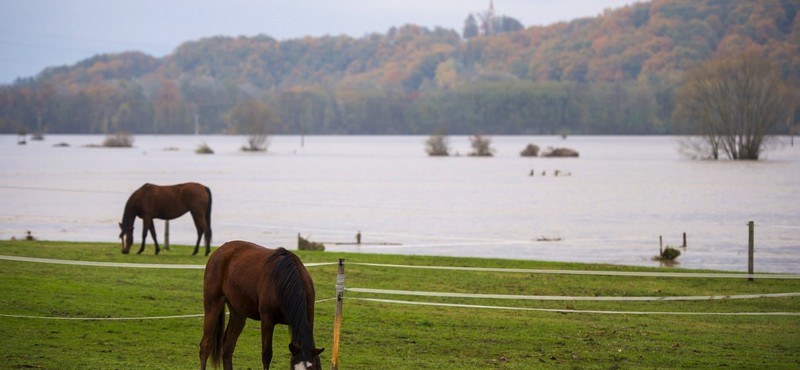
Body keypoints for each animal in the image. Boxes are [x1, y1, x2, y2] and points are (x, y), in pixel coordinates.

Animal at [200, 240, 324, 370]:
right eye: (293, 368)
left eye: (311, 369)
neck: (285, 282)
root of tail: (221, 249)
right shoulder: (267, 320)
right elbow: (266, 354)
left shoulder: (309, 319)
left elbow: (317, 359)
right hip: (212, 305)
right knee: (205, 345)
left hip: (238, 312)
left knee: (227, 346)